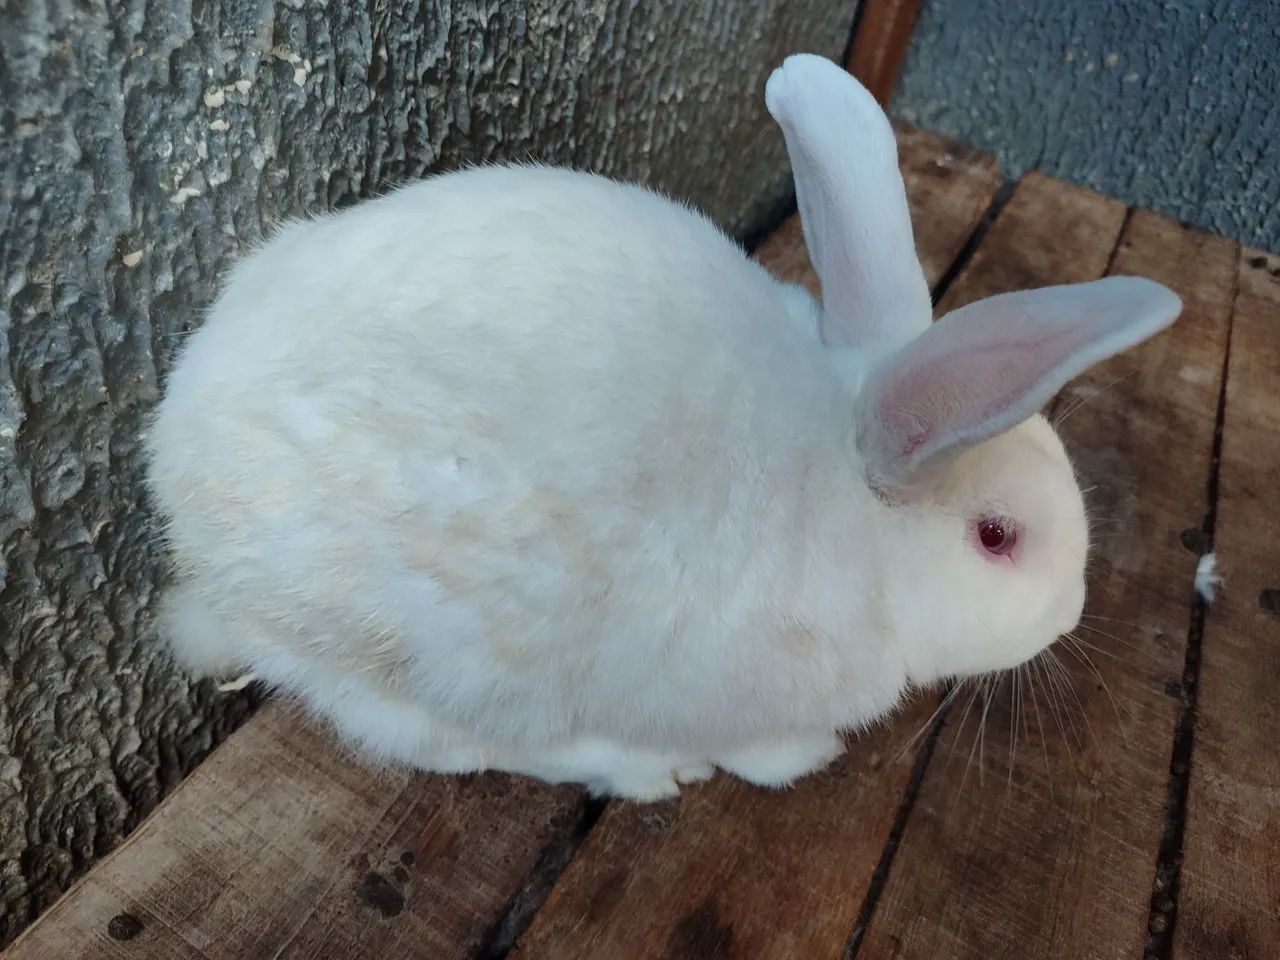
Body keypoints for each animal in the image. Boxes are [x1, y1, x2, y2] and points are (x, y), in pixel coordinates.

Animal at [145, 53, 1181, 801]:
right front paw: (793, 759)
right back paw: (649, 771)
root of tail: (185, 510)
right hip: (443, 658)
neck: (850, 488)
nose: (1071, 614)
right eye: (997, 537)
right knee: (460, 744)